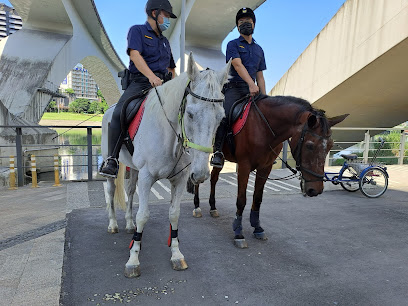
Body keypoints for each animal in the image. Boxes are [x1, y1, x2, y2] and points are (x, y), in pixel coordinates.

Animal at [101, 52, 231, 278]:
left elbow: (174, 214)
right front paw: (133, 259)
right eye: (190, 113)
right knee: (110, 191)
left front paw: (176, 255)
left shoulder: (179, 180)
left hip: (134, 169)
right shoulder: (146, 177)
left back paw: (128, 224)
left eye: (221, 118)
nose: (200, 174)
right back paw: (113, 224)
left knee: (130, 191)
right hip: (113, 165)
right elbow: (143, 215)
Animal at [188, 94, 348, 247]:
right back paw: (197, 206)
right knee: (197, 179)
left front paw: (257, 227)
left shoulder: (266, 167)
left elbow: (258, 198)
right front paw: (238, 232)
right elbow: (241, 200)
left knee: (214, 178)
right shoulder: (244, 166)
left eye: (330, 146)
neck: (263, 127)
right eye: (310, 145)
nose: (316, 189)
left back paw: (213, 207)